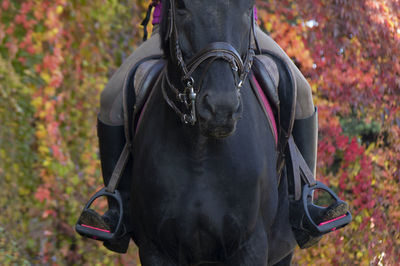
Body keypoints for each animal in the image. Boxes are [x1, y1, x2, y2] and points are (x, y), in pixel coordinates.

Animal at [130, 1, 296, 264]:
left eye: (248, 7)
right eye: (181, 7)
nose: (220, 108)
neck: (199, 149)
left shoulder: (252, 246)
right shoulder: (154, 249)